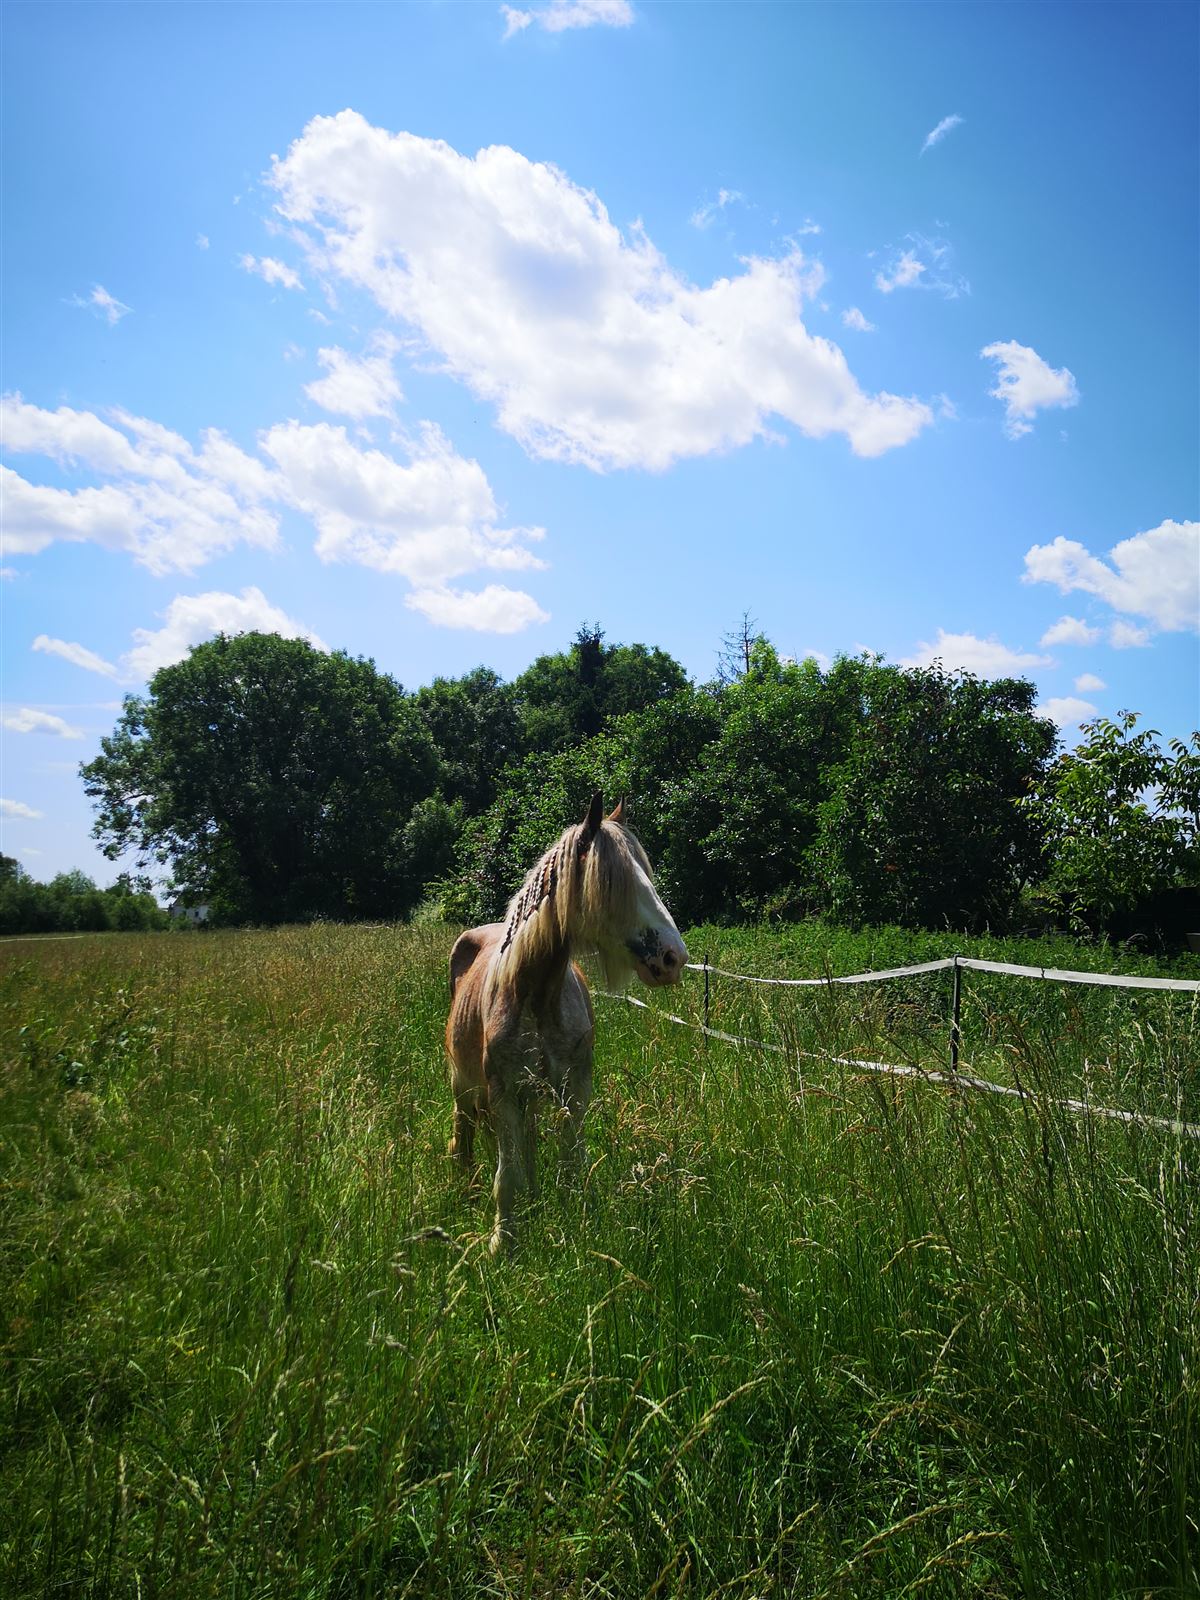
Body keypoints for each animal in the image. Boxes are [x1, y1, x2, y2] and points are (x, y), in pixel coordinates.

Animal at [445, 793, 688, 1255]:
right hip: (465, 1090)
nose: (673, 957)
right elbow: (506, 1174)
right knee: (463, 1138)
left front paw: (576, 1228)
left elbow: (571, 1166)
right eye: (610, 883)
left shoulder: (573, 1088)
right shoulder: (504, 1093)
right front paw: (504, 1242)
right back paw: (466, 1193)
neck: (537, 996)